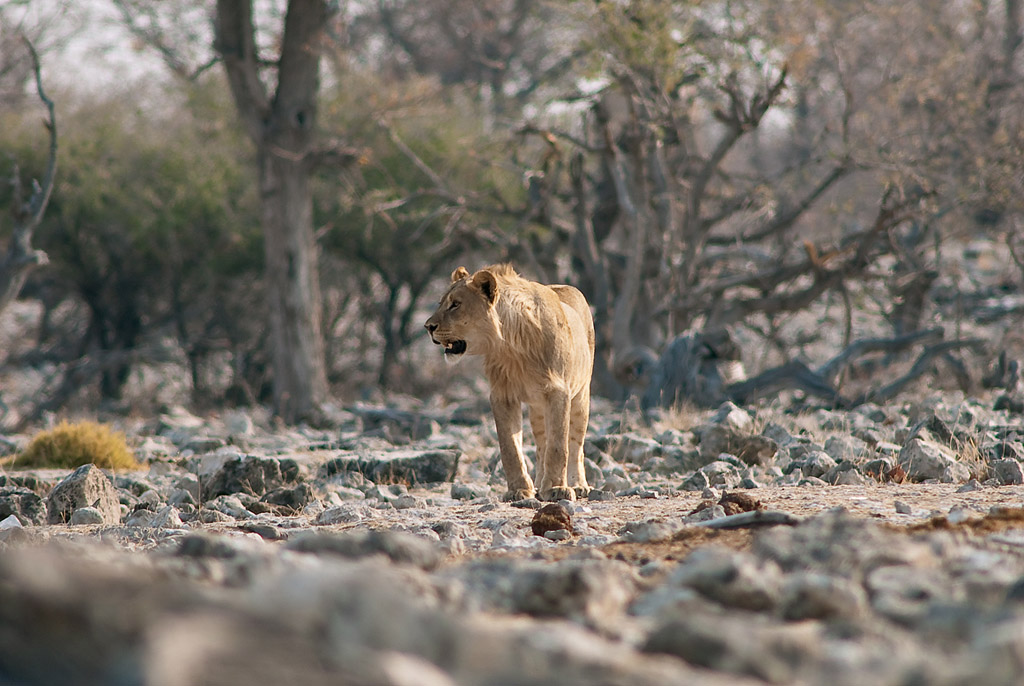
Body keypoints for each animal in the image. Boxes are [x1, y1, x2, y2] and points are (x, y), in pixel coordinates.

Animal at [425, 264, 595, 502]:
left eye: (455, 304)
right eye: (441, 303)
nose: (428, 326)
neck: (510, 347)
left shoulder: (559, 392)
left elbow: (559, 445)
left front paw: (557, 489)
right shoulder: (502, 395)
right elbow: (510, 448)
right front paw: (519, 490)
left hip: (581, 397)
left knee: (576, 444)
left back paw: (578, 485)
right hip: (538, 410)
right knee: (541, 445)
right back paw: (540, 484)